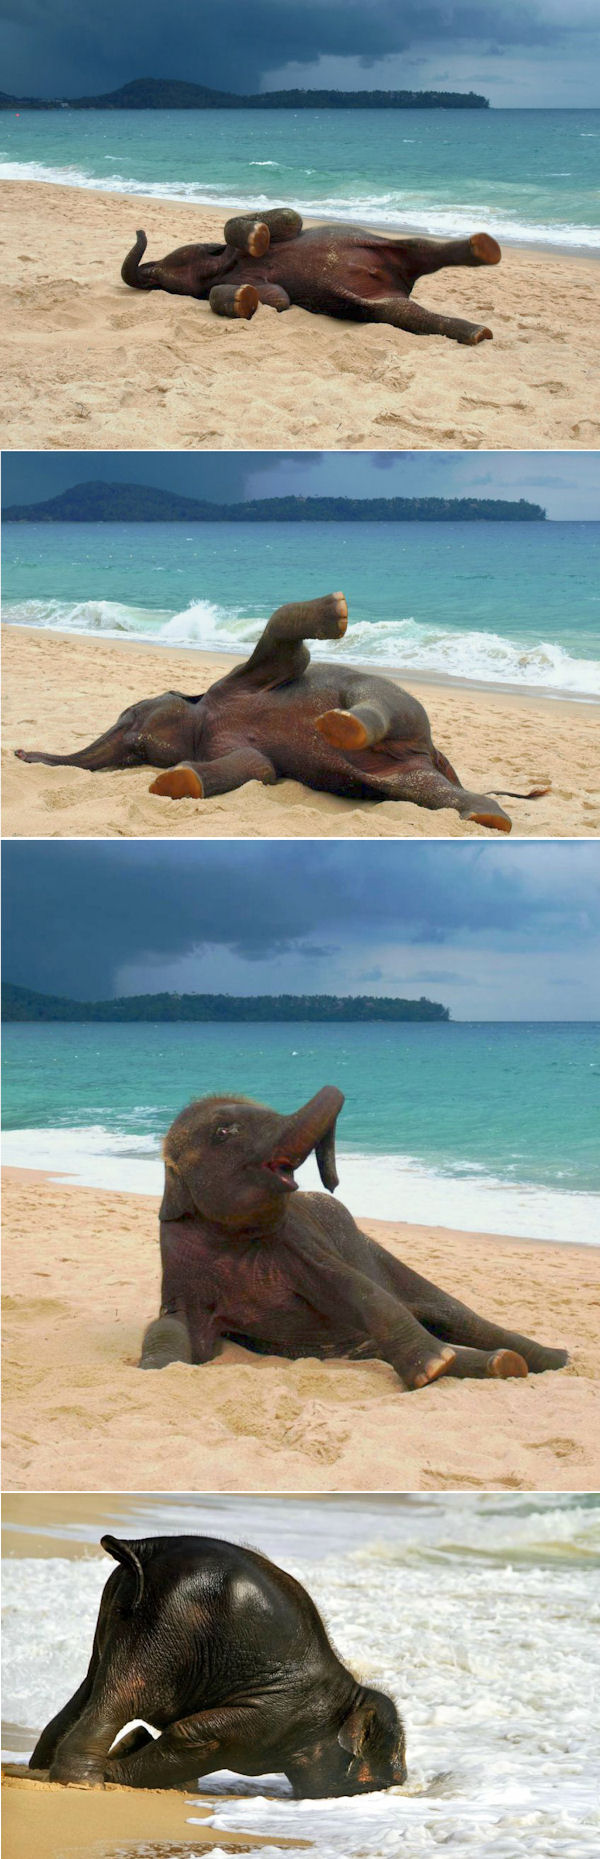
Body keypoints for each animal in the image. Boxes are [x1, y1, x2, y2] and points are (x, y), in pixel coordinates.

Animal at [15, 593, 547, 832]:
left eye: (131, 711)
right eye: (136, 756)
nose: (21, 754)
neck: (204, 714)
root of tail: (436, 753)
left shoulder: (239, 679)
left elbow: (290, 655)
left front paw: (336, 612)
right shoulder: (229, 744)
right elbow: (259, 768)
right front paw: (175, 782)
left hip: (402, 709)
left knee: (373, 696)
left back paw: (337, 724)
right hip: (406, 769)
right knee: (424, 791)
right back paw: (489, 816)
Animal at [30, 1531, 407, 1796]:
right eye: (389, 1778)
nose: (400, 1781)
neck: (348, 1697)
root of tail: (147, 1547)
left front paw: (136, 1752)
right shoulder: (274, 1718)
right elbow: (196, 1737)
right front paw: (117, 1769)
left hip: (121, 1608)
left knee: (91, 1683)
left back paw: (41, 1770)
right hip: (166, 1624)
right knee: (125, 1694)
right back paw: (85, 1782)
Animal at [121, 204, 502, 345]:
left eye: (163, 271)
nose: (138, 230)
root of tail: (402, 284)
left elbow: (292, 218)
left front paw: (257, 236)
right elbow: (277, 299)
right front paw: (246, 297)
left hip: (385, 246)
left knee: (421, 247)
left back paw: (484, 248)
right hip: (380, 302)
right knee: (403, 311)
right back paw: (478, 333)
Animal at [139, 1085, 568, 1391]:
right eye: (224, 1131)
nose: (332, 1183)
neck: (229, 1238)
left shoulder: (302, 1244)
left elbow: (356, 1288)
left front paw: (433, 1367)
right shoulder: (178, 1264)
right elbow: (171, 1325)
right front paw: (158, 1369)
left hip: (382, 1255)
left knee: (461, 1317)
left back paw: (551, 1359)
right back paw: (502, 1363)